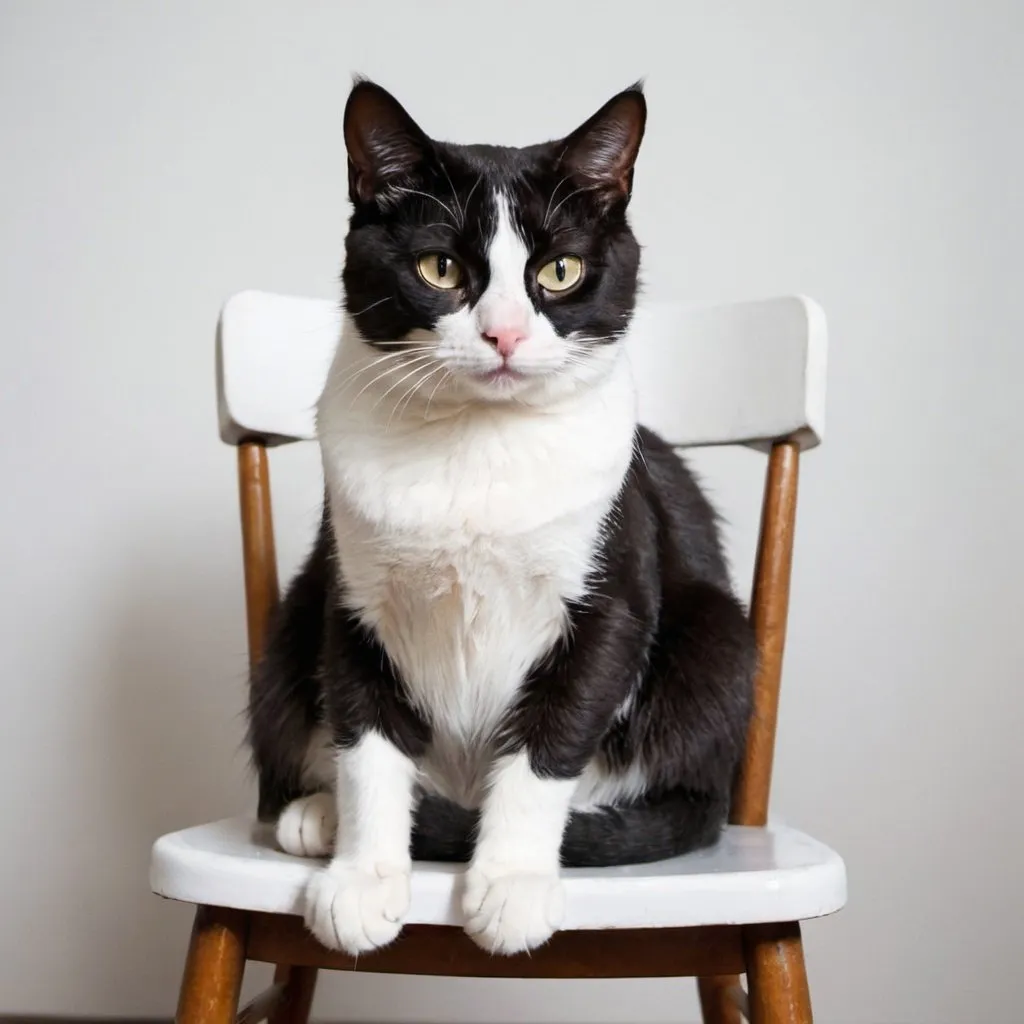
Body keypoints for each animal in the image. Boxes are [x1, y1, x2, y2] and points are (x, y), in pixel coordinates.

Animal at [247, 79, 757, 958]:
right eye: (441, 267)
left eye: (560, 270)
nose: (506, 335)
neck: (475, 442)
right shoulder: (354, 595)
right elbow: (367, 736)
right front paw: (363, 878)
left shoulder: (609, 598)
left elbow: (552, 738)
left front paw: (512, 881)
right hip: (289, 632)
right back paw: (319, 814)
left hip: (718, 645)